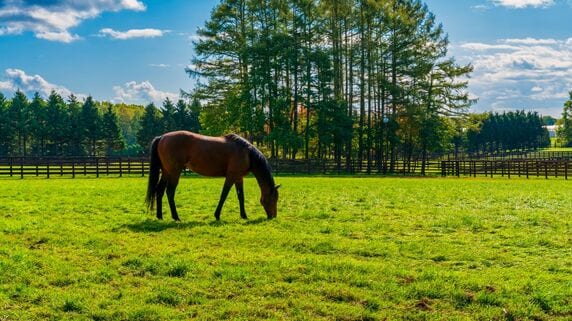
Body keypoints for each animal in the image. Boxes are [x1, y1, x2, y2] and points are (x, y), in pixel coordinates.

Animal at [142, 130, 278, 220]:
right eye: (274, 199)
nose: (273, 217)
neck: (247, 153)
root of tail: (162, 137)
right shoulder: (231, 176)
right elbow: (224, 195)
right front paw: (217, 215)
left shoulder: (239, 178)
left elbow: (241, 197)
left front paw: (244, 216)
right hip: (175, 172)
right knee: (170, 192)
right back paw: (176, 217)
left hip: (166, 172)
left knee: (159, 191)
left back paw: (160, 216)